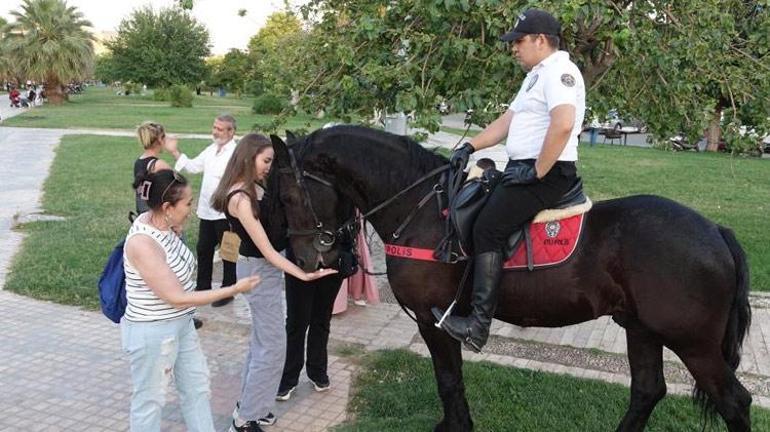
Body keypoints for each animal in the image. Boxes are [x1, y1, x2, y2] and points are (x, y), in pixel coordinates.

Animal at [268, 125, 752, 432]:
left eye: (289, 195)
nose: (306, 260)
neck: (423, 210)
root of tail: (716, 231)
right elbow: (452, 380)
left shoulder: (433, 320)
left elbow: (447, 380)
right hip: (642, 329)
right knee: (647, 391)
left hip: (693, 343)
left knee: (734, 402)